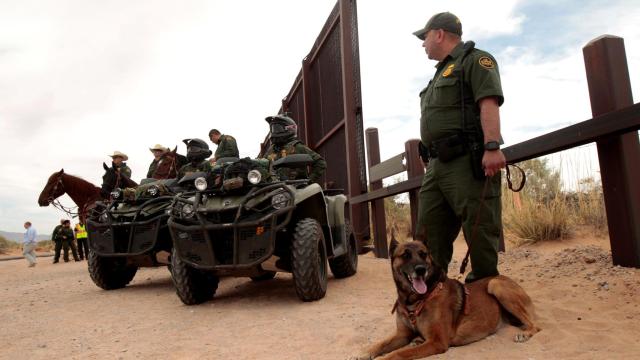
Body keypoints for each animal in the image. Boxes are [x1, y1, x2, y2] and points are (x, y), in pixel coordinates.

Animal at [356, 239, 540, 360]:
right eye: (405, 255)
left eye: (423, 254)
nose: (421, 269)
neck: (415, 300)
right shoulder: (402, 335)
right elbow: (380, 344)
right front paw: (364, 353)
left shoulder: (437, 342)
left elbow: (398, 353)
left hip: (495, 285)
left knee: (536, 326)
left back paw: (525, 333)